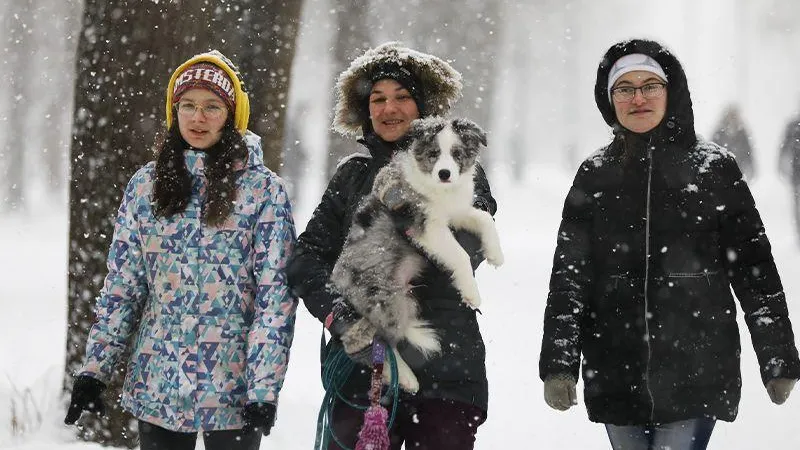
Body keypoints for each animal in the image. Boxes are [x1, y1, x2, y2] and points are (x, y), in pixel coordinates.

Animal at [328, 117, 504, 394]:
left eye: (457, 154)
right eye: (434, 154)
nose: (445, 174)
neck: (437, 189)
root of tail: (338, 282)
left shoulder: (455, 212)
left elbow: (483, 218)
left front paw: (496, 253)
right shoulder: (426, 225)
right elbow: (460, 255)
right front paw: (471, 293)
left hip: (404, 298)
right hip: (386, 299)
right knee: (376, 339)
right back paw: (406, 377)